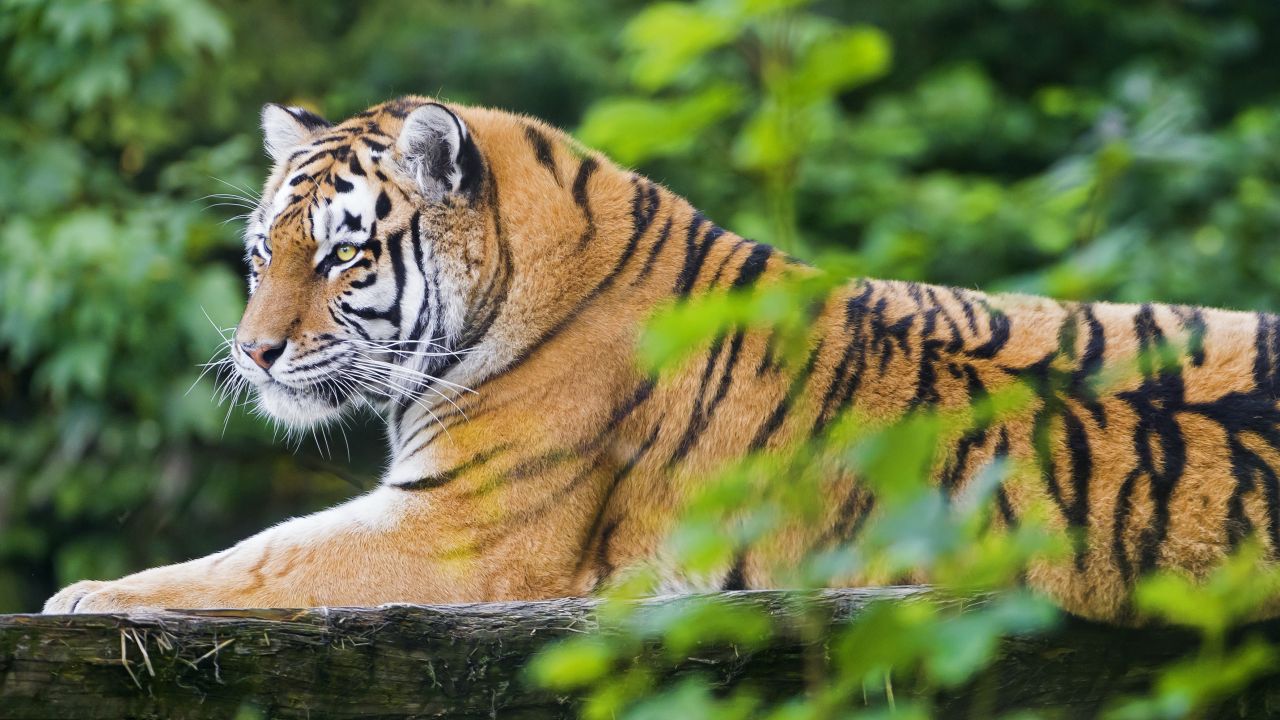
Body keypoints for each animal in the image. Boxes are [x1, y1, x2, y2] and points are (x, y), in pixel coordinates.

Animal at [43, 96, 1280, 623]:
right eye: (262, 255)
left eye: (344, 256)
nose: (251, 355)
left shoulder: (459, 533)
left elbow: (261, 559)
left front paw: (88, 595)